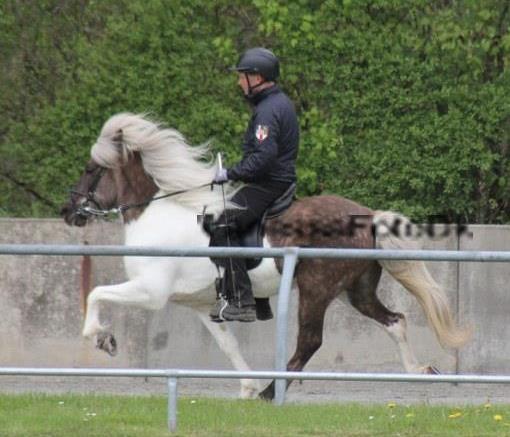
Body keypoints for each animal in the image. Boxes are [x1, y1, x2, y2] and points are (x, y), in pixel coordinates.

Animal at [61, 111, 472, 398]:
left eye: (90, 169)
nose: (68, 211)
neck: (155, 213)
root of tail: (366, 216)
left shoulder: (150, 291)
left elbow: (95, 294)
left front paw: (101, 338)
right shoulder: (200, 304)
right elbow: (227, 344)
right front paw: (245, 386)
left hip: (317, 288)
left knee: (310, 342)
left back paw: (272, 391)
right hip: (353, 290)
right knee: (395, 321)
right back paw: (420, 370)